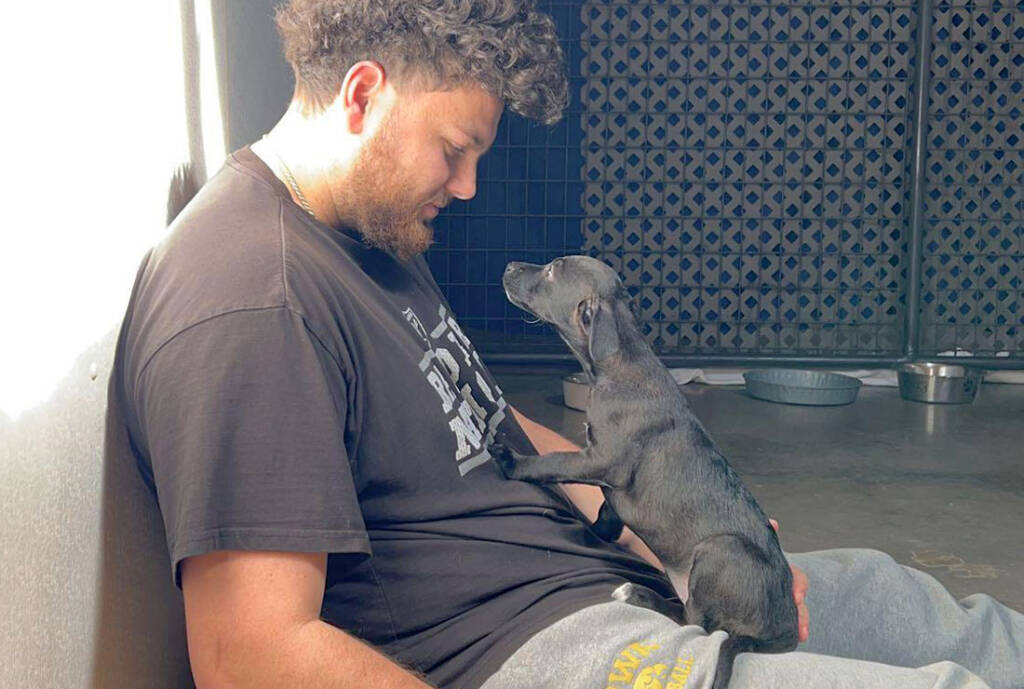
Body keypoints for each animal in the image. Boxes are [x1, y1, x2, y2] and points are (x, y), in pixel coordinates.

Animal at [489, 253, 798, 687]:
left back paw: (637, 595)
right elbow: (606, 510)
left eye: (551, 270)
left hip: (719, 550)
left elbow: (554, 463)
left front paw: (512, 462)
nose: (510, 266)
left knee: (694, 620)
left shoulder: (602, 459)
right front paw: (597, 533)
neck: (617, 362)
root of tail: (781, 632)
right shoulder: (605, 476)